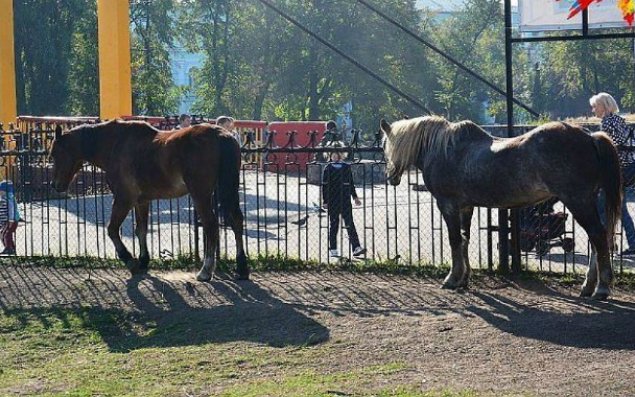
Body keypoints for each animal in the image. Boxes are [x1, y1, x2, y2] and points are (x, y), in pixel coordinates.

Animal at [50, 119, 248, 280]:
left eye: (54, 154)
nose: (54, 185)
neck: (116, 144)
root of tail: (221, 135)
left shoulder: (124, 199)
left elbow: (112, 229)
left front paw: (129, 260)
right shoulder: (141, 201)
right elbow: (141, 230)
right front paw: (143, 260)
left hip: (200, 194)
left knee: (211, 225)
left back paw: (206, 270)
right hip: (225, 190)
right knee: (236, 220)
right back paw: (241, 267)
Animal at [382, 116, 620, 298]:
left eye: (386, 146)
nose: (390, 177)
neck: (445, 150)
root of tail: (590, 137)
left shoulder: (448, 205)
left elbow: (454, 240)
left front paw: (452, 278)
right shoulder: (466, 207)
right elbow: (465, 239)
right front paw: (464, 278)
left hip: (578, 201)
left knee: (598, 236)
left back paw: (601, 287)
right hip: (587, 201)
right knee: (597, 239)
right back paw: (588, 286)